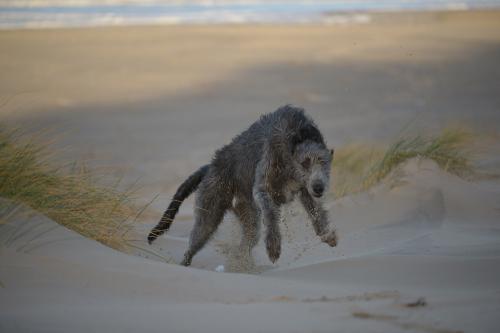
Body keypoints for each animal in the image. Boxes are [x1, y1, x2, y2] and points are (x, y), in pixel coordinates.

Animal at [147, 105, 336, 266]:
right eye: (305, 163)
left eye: (324, 162)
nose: (319, 188)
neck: (298, 137)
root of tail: (210, 166)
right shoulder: (265, 179)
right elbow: (270, 211)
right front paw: (273, 245)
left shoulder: (305, 188)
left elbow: (315, 209)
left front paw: (327, 234)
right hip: (210, 207)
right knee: (196, 239)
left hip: (246, 212)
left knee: (246, 242)